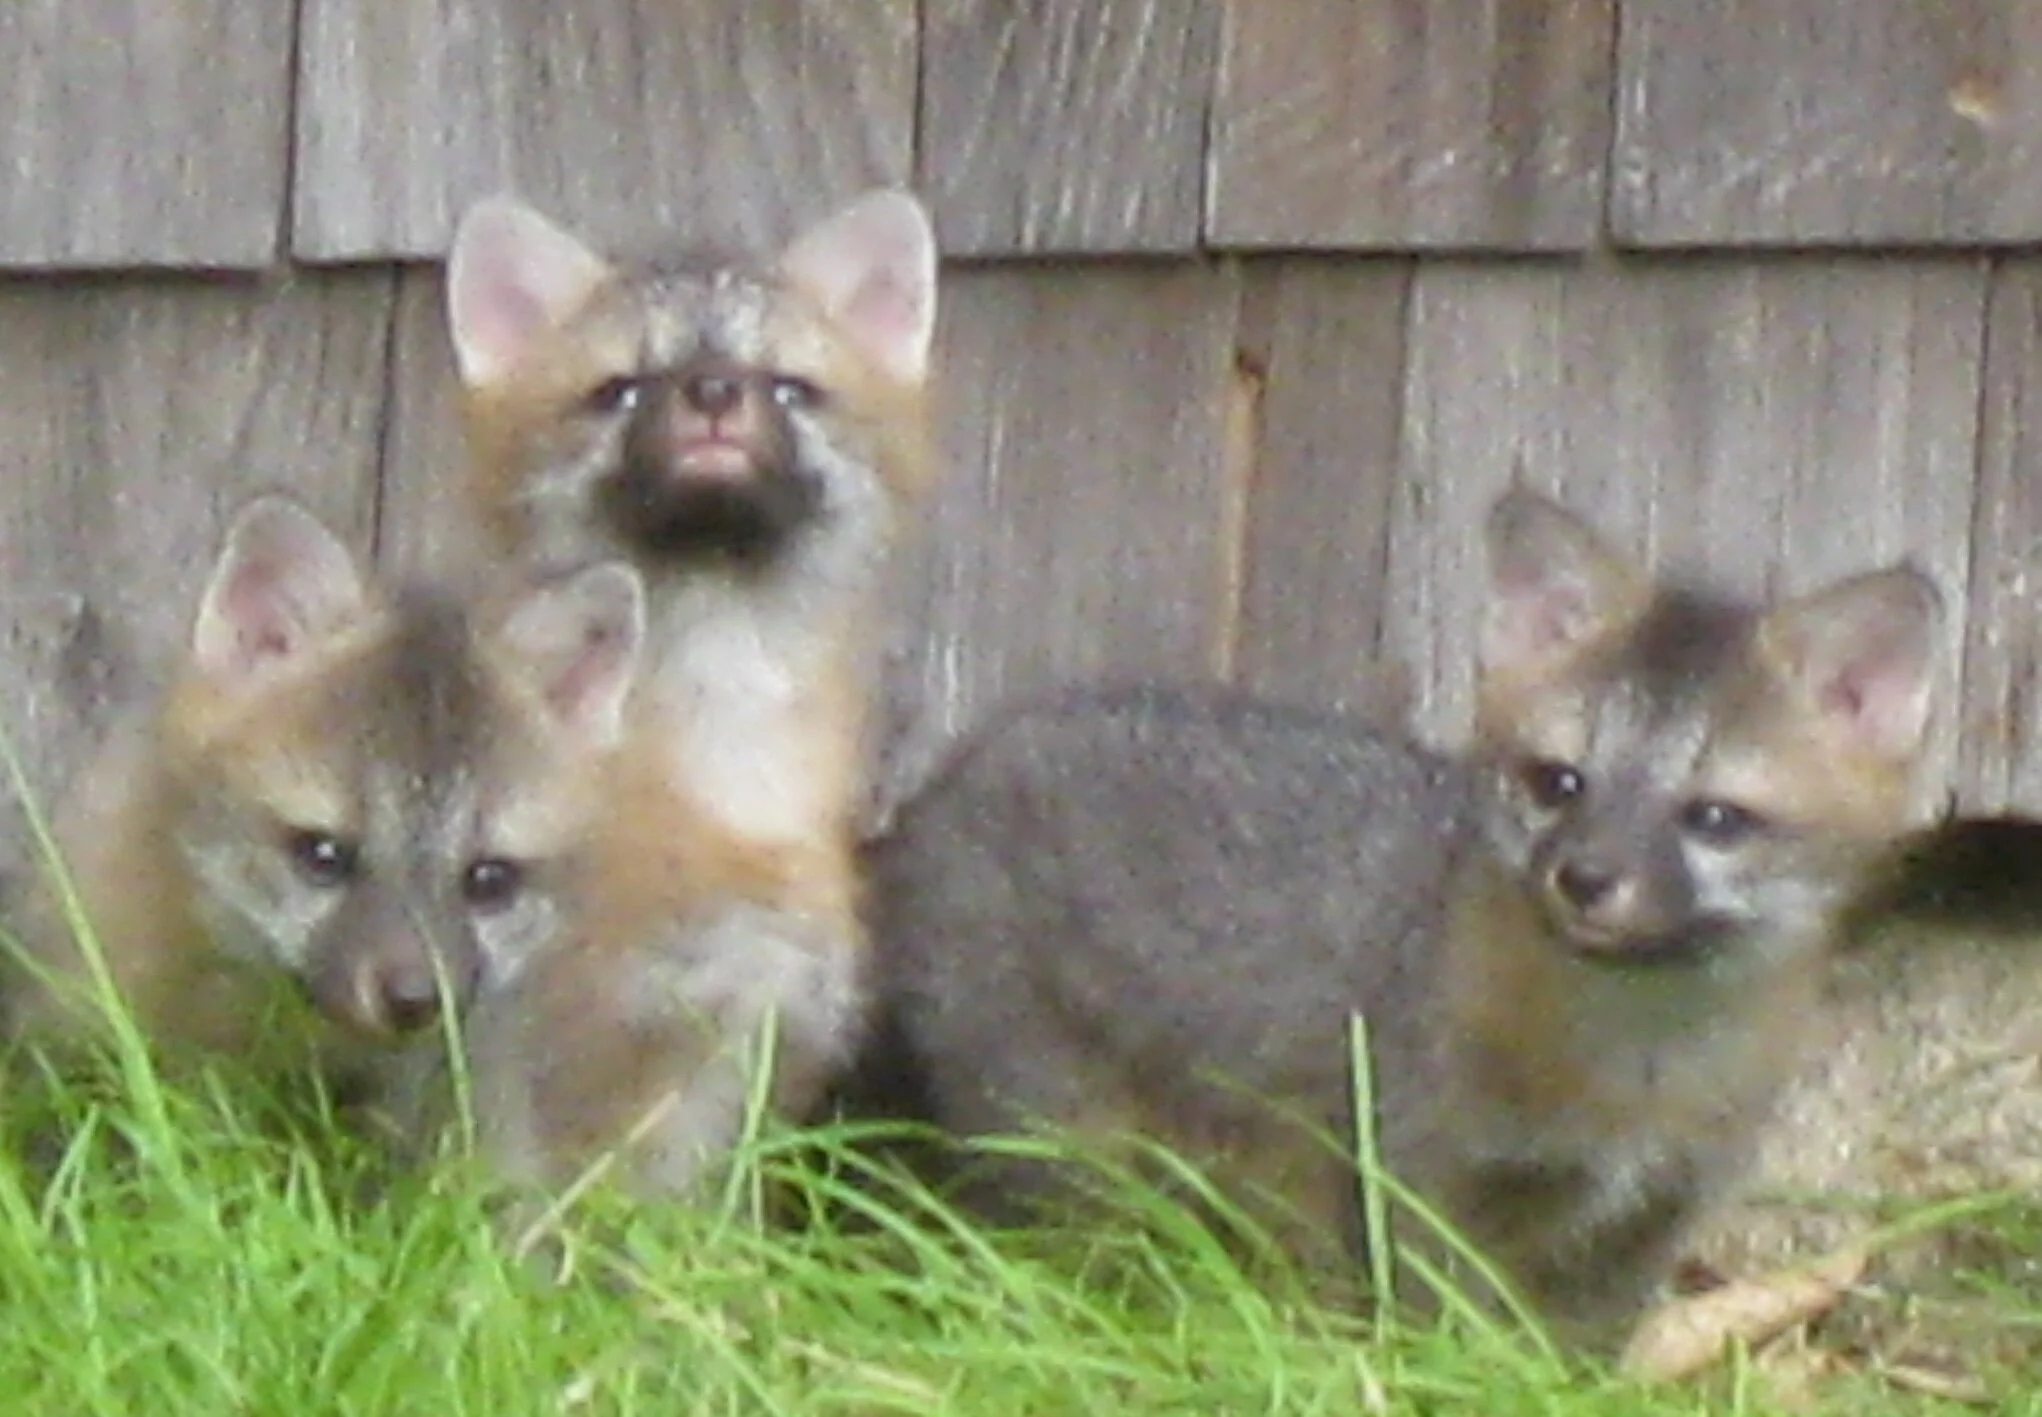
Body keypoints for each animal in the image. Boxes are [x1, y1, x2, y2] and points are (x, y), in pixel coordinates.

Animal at [854, 488, 1943, 1340]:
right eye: (1557, 782)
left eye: (1715, 818)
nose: (1583, 878)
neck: (1634, 1068)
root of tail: (934, 788)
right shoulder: (1419, 1182)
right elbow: (1438, 1347)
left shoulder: (1642, 1225)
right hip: (1061, 1148)